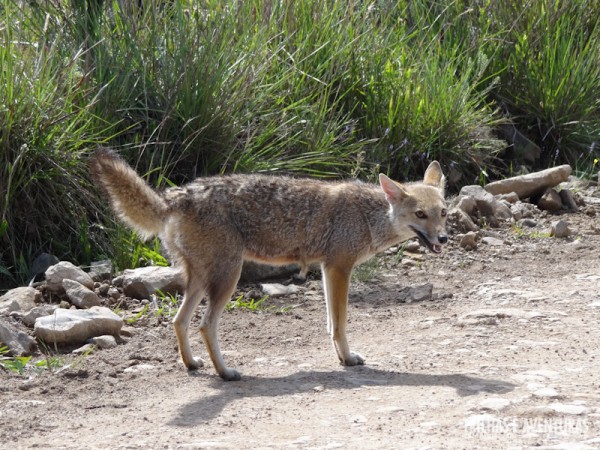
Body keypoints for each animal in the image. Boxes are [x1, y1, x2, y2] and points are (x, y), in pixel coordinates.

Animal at [89, 148, 446, 380]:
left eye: (442, 212)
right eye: (420, 215)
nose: (443, 239)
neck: (368, 216)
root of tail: (179, 195)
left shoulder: (329, 270)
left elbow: (331, 323)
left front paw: (341, 357)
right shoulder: (339, 269)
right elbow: (340, 324)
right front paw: (346, 358)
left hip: (202, 280)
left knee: (179, 321)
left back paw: (192, 365)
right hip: (227, 279)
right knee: (204, 325)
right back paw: (226, 372)